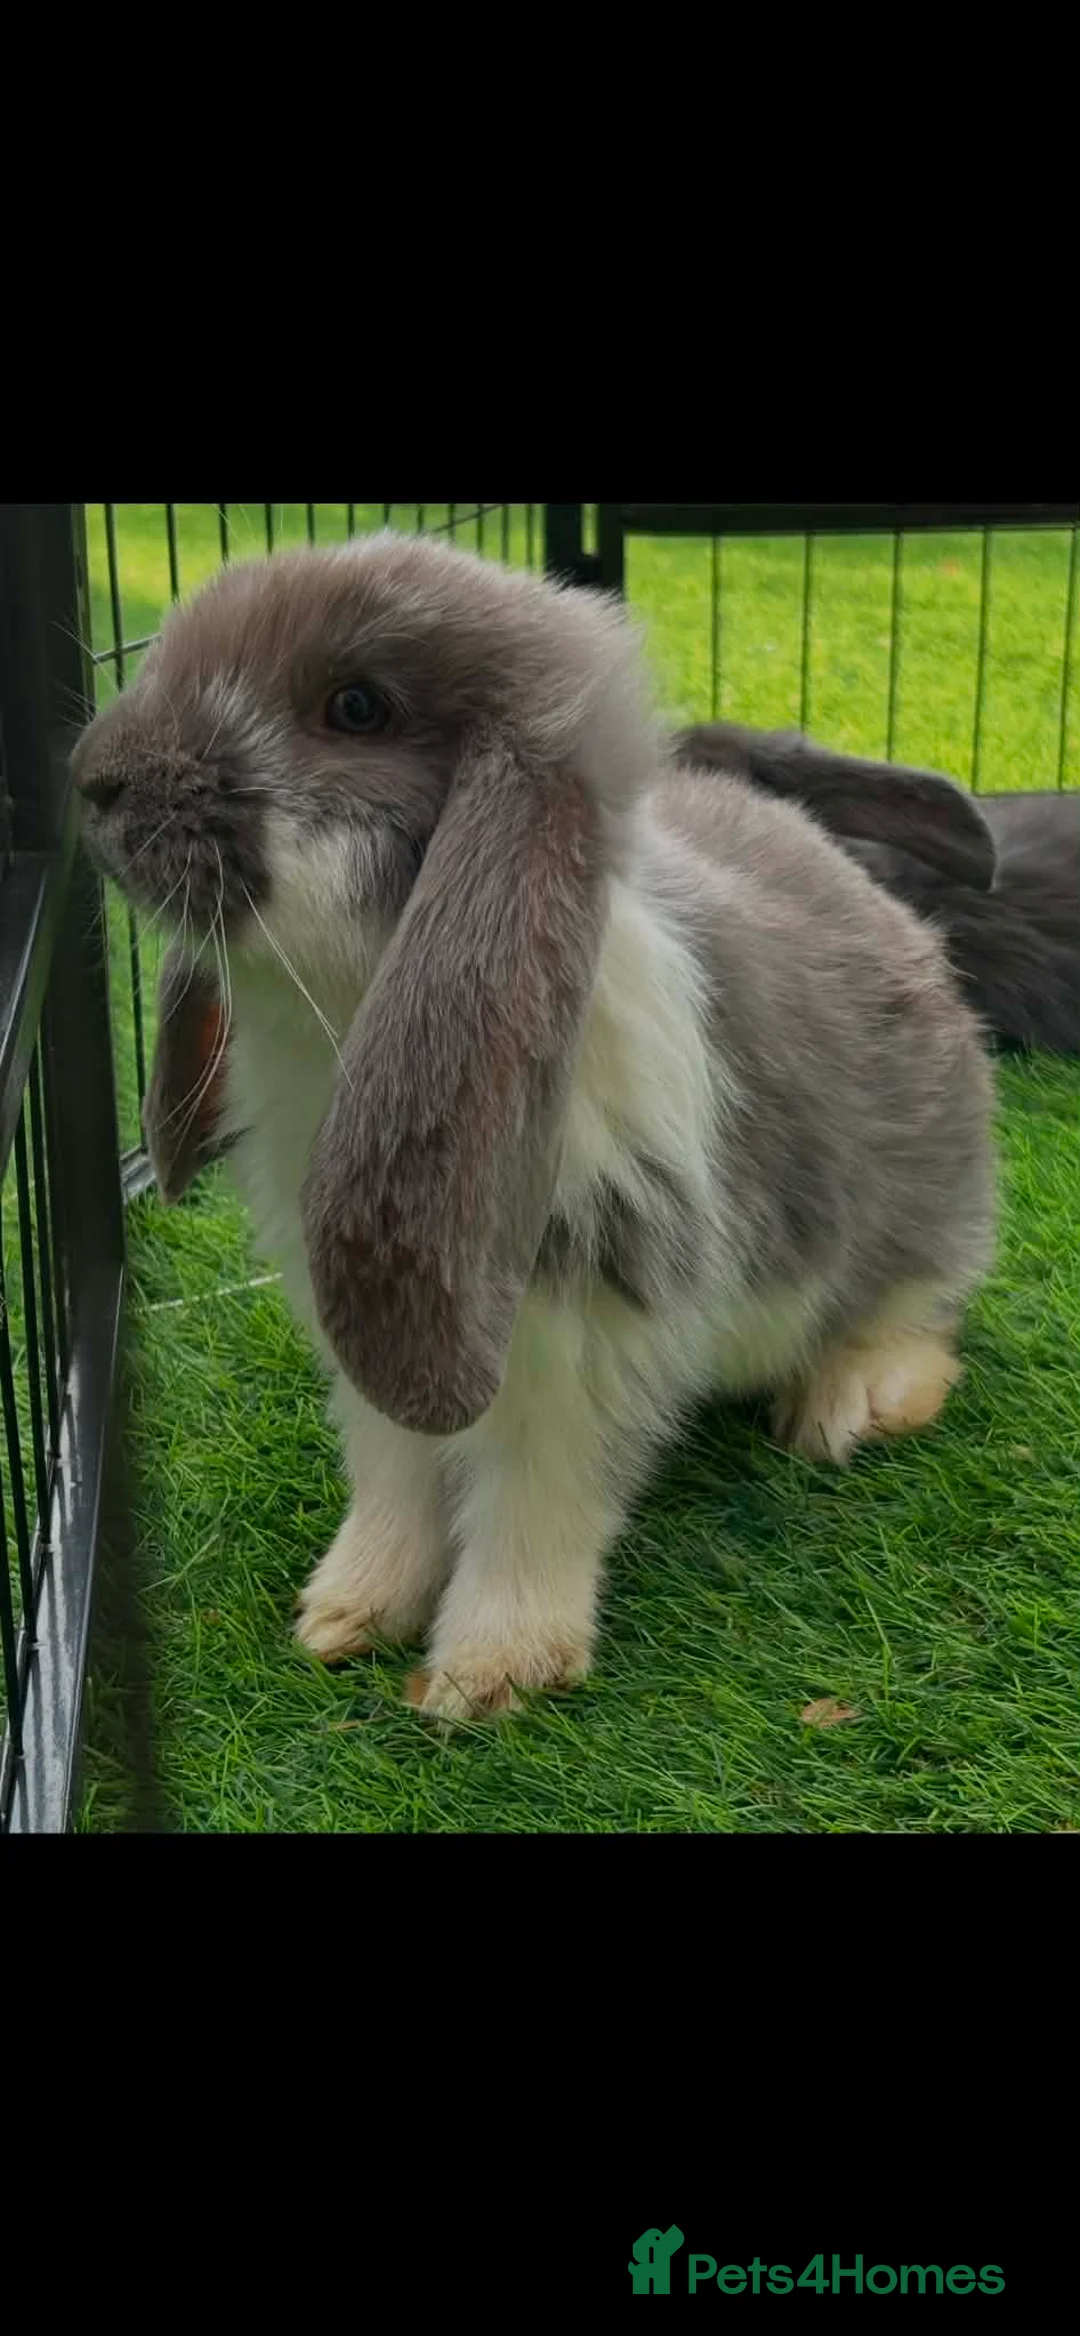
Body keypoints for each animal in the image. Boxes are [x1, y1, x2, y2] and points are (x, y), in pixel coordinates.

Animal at [72, 536, 996, 1723]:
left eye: (355, 707)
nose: (93, 777)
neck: (350, 1003)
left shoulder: (585, 1314)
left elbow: (536, 1491)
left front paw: (488, 1671)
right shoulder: (368, 1321)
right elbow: (394, 1468)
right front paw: (345, 1614)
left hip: (925, 1211)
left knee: (920, 1311)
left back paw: (850, 1403)